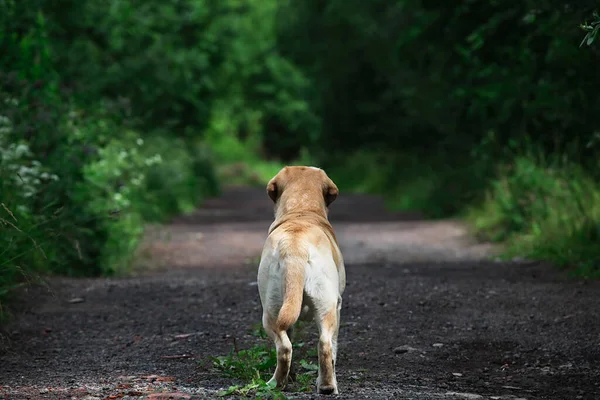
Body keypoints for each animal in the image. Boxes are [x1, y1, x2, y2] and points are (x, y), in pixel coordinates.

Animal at [255, 165, 344, 394]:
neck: (301, 211)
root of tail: (295, 246)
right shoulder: (338, 307)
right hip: (325, 308)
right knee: (323, 345)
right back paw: (325, 385)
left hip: (273, 311)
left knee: (288, 347)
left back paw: (280, 383)